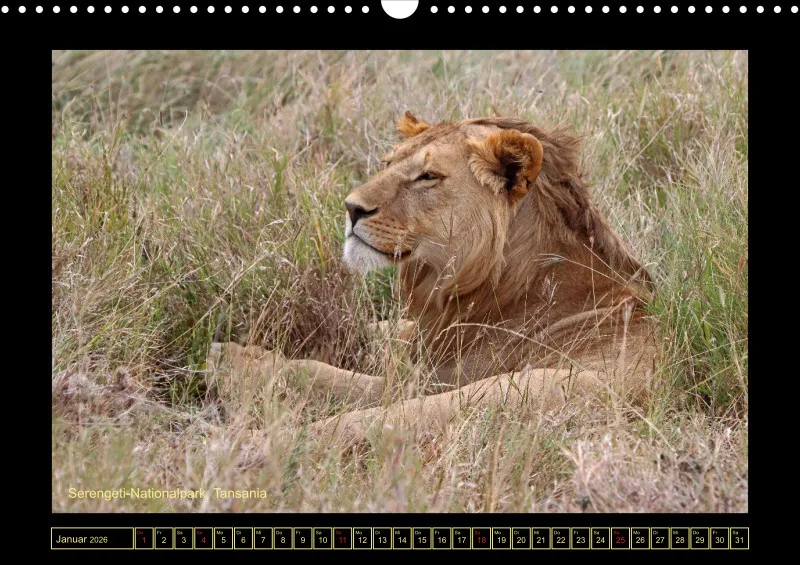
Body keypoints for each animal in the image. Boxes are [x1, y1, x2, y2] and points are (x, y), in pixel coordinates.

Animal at [208, 112, 658, 446]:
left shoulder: (432, 372)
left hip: (514, 388)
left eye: (427, 176)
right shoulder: (422, 337)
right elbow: (371, 329)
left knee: (376, 415)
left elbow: (325, 371)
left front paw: (233, 356)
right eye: (387, 164)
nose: (351, 208)